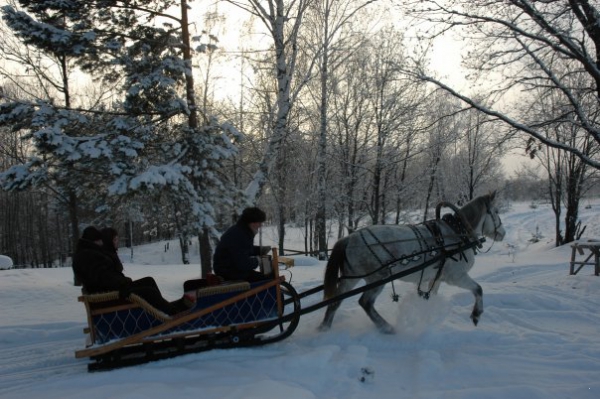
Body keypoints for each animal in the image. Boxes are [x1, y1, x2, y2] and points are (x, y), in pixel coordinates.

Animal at [318, 191, 506, 334]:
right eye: (496, 211)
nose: (503, 233)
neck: (457, 232)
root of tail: (349, 238)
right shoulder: (457, 277)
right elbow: (478, 289)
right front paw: (476, 315)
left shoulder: (436, 278)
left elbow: (431, 297)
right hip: (377, 278)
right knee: (365, 302)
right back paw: (387, 328)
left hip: (351, 278)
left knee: (335, 302)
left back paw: (324, 329)